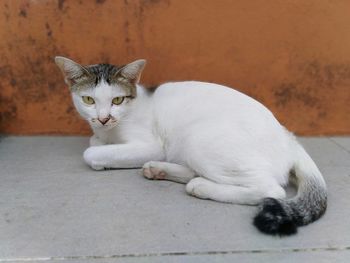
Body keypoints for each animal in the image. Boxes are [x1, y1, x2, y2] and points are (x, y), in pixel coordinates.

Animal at [55, 56, 328, 236]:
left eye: (117, 100)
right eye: (88, 100)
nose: (103, 118)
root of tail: (288, 136)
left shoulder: (150, 145)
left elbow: (91, 151)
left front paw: (100, 159)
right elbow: (94, 141)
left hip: (200, 140)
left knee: (271, 189)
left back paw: (200, 186)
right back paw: (160, 170)